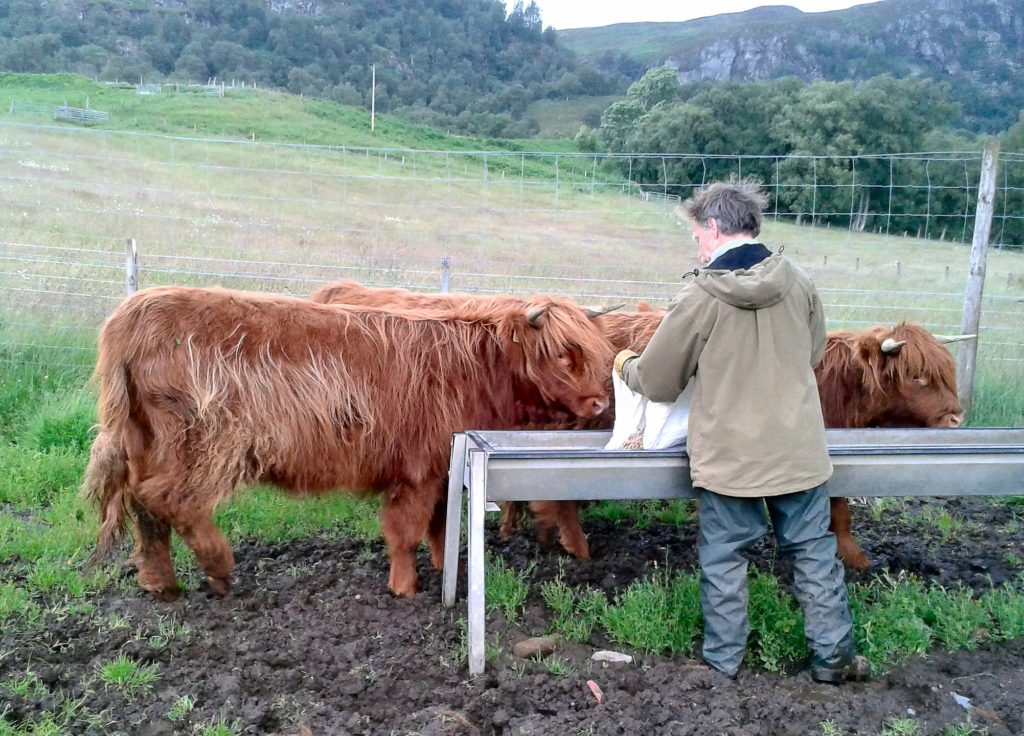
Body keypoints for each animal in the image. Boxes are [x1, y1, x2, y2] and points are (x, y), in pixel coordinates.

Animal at [83, 284, 610, 601]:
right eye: (561, 354)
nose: (601, 402)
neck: (477, 369)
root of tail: (132, 313)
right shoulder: (416, 471)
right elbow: (406, 531)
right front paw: (404, 586)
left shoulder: (442, 467)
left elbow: (442, 529)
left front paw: (448, 572)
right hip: (203, 444)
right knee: (171, 500)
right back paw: (218, 567)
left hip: (145, 443)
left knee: (144, 506)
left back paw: (161, 584)